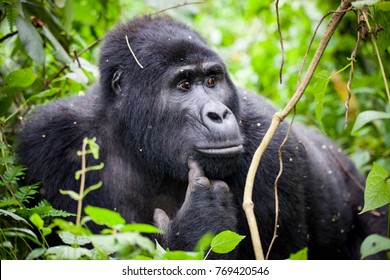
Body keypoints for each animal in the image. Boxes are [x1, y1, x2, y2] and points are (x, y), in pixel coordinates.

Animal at [16, 15, 386, 260]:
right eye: (183, 85)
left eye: (211, 80)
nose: (218, 114)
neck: (136, 145)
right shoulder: (49, 141)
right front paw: (199, 223)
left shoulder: (269, 145)